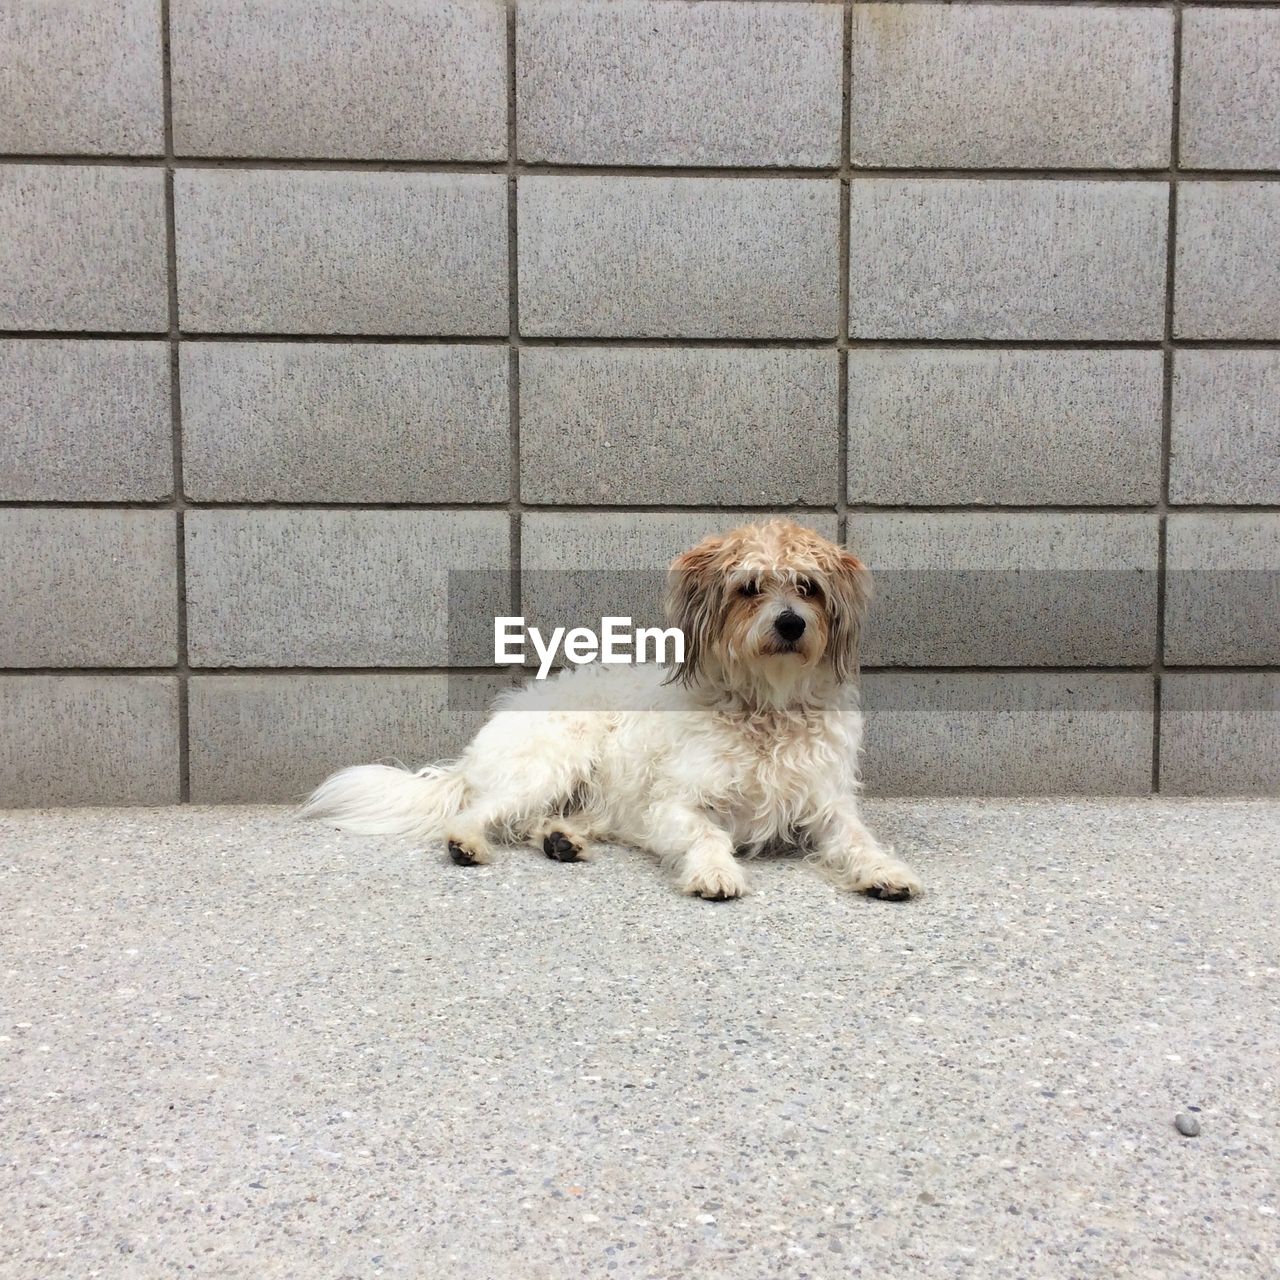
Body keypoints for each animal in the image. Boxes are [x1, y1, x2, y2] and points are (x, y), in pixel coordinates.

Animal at [302, 517, 921, 901]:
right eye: (749, 587)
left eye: (808, 587)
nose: (791, 623)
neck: (765, 707)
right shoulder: (675, 806)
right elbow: (707, 836)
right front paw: (716, 872)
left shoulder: (828, 806)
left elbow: (859, 841)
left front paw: (885, 872)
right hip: (553, 760)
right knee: (483, 812)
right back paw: (468, 844)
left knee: (535, 820)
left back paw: (562, 840)